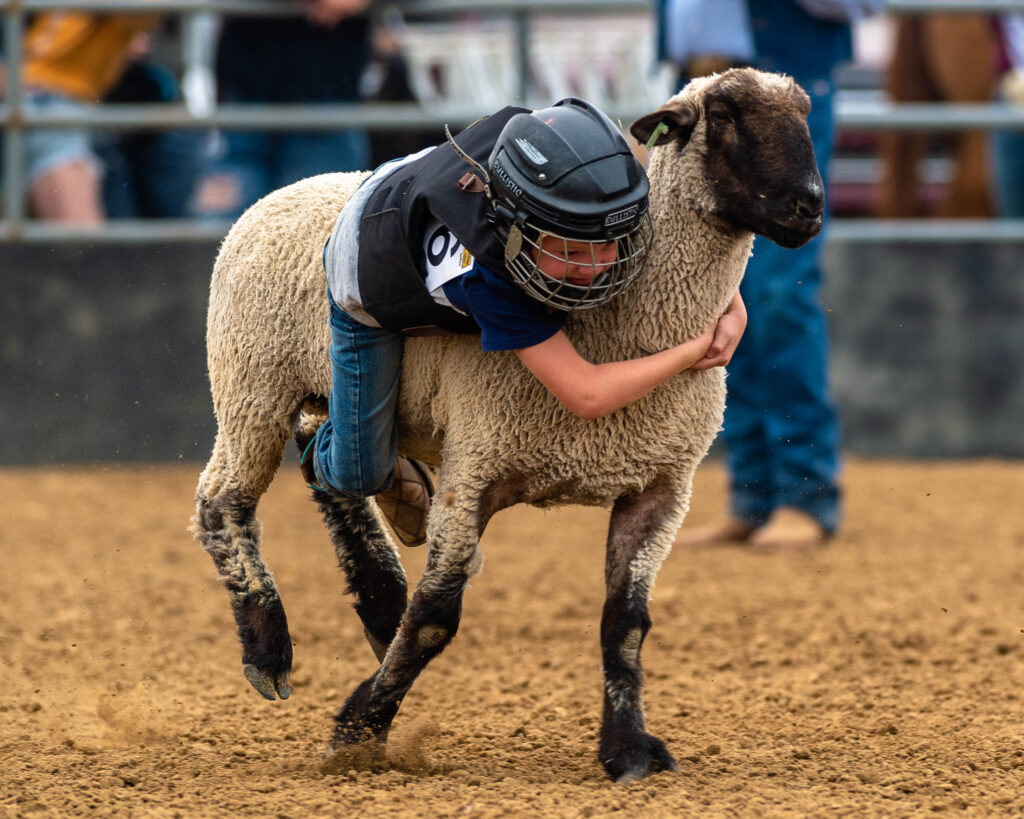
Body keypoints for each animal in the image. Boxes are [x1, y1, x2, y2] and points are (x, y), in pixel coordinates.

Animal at [192, 67, 823, 782]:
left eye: (805, 112)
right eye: (722, 114)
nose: (810, 207)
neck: (624, 315)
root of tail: (276, 197)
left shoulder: (661, 488)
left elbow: (625, 623)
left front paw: (630, 750)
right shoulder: (477, 467)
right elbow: (435, 619)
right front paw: (357, 731)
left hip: (321, 393)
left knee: (335, 458)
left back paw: (385, 581)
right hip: (253, 383)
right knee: (226, 500)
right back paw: (269, 647)